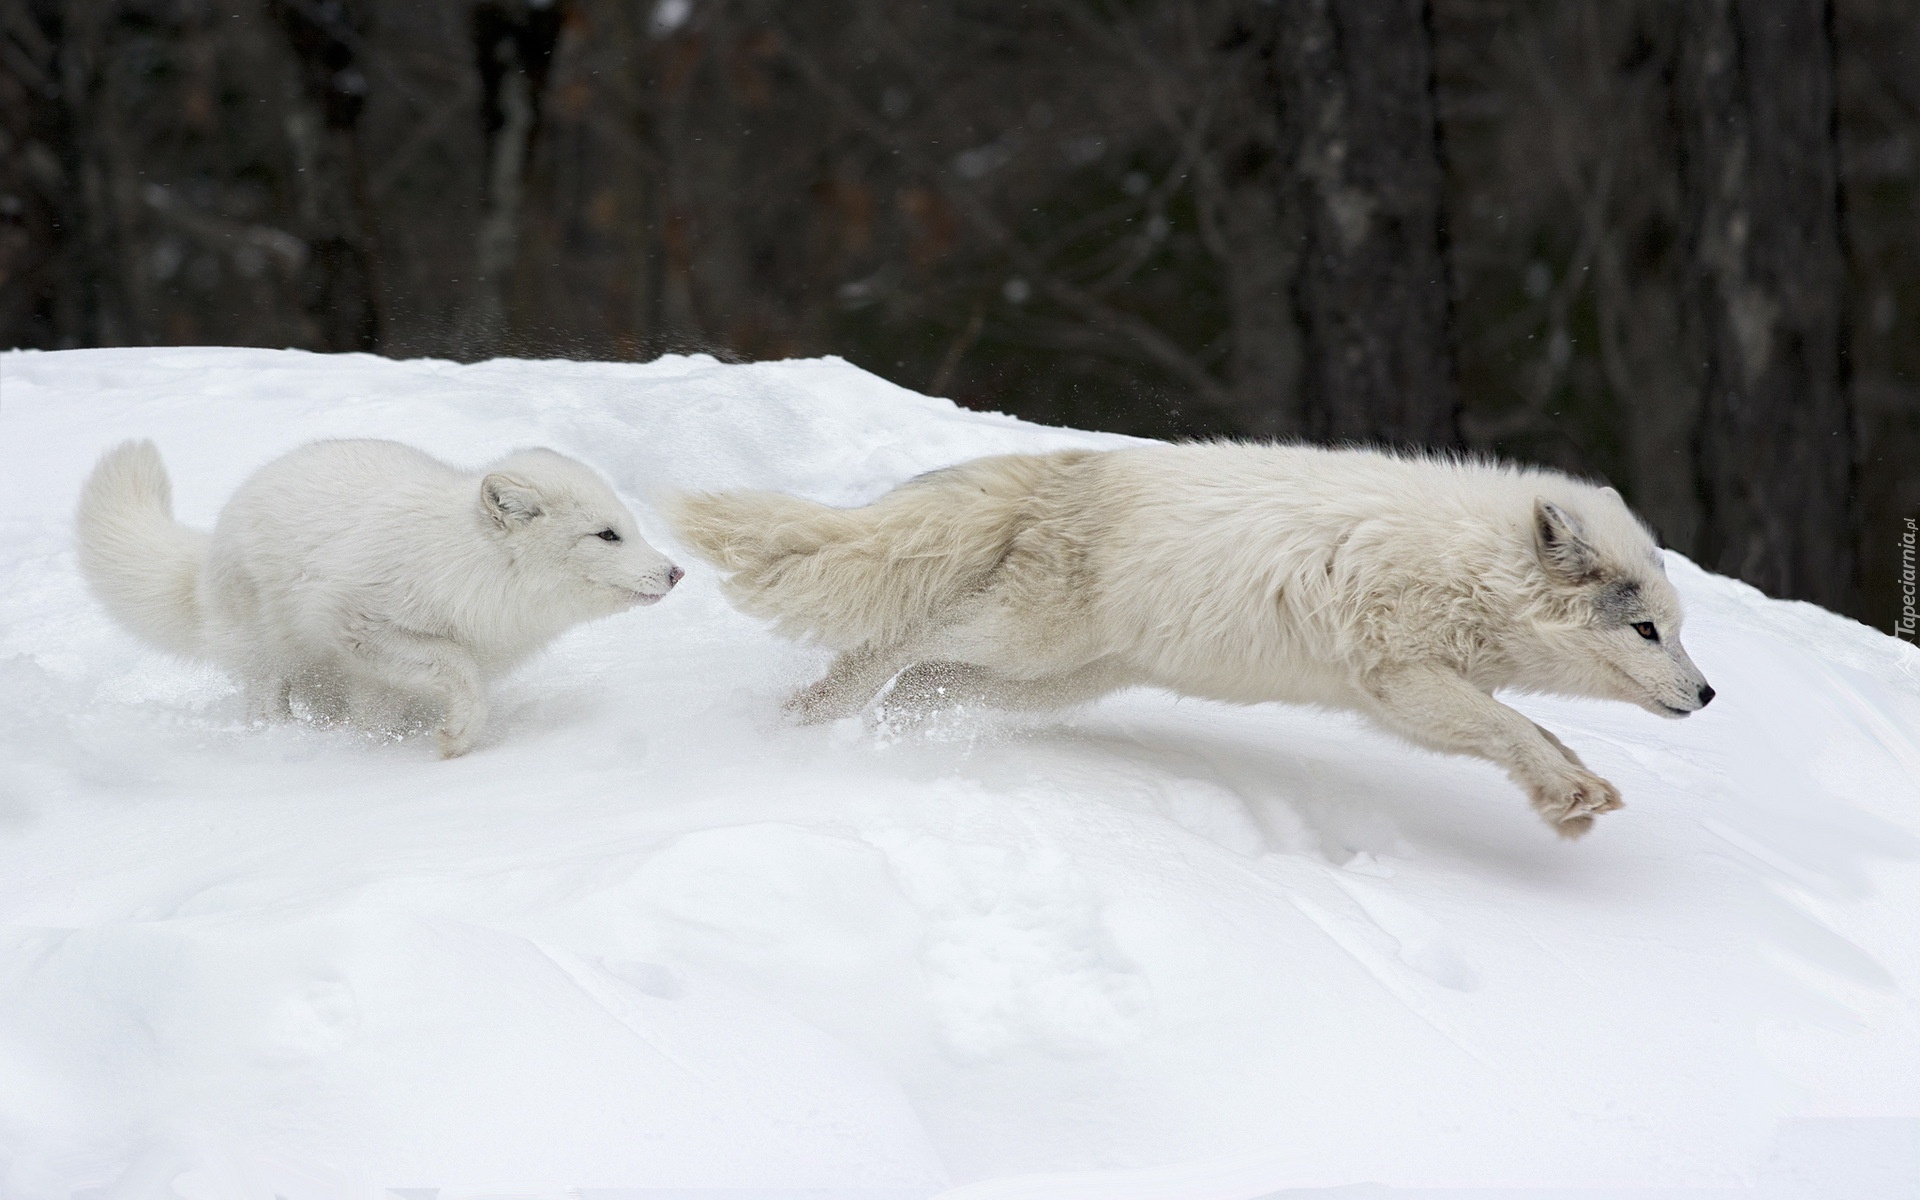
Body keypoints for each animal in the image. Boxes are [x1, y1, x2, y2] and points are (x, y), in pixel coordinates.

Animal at [76, 439, 683, 752]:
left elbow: (398, 709)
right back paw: (282, 741)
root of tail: (208, 550)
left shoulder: (382, 674)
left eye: (630, 527)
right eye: (607, 535)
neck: (472, 567)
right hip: (272, 655)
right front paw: (456, 739)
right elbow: (460, 672)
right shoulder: (360, 624)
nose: (676, 572)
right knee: (266, 702)